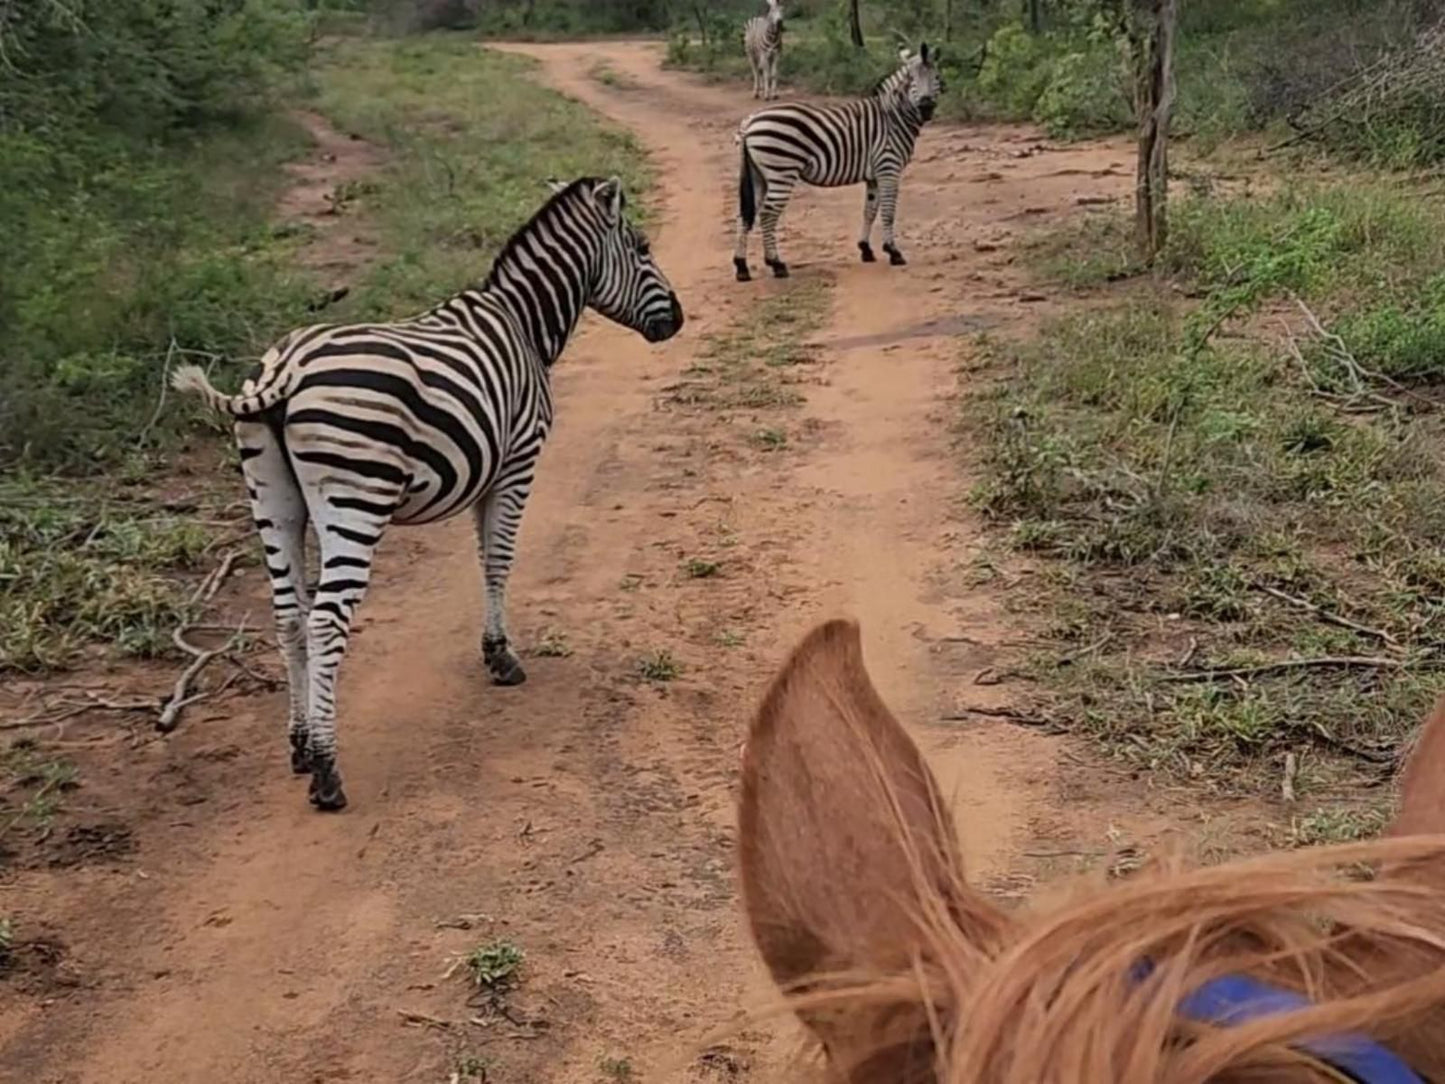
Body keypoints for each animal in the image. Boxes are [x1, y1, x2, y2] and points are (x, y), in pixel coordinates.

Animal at [173, 176, 682, 815]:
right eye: (642, 248)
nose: (678, 320)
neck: (523, 322)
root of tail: (284, 368)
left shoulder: (485, 475)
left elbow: (485, 559)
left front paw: (492, 649)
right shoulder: (518, 463)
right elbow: (500, 560)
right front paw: (502, 656)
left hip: (272, 501)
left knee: (289, 615)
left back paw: (299, 745)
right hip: (355, 498)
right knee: (325, 620)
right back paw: (326, 771)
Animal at [734, 42, 947, 281]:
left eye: (936, 76)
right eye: (911, 79)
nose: (926, 107)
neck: (892, 117)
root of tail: (750, 122)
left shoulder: (874, 175)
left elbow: (870, 210)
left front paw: (866, 249)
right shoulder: (888, 168)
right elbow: (888, 211)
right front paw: (893, 252)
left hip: (759, 175)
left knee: (745, 214)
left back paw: (741, 267)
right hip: (781, 171)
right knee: (768, 214)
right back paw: (776, 264)